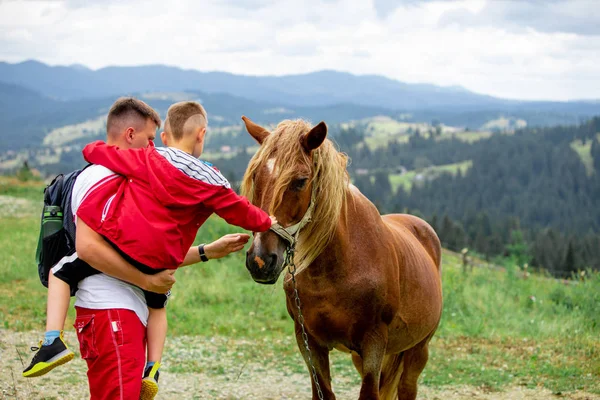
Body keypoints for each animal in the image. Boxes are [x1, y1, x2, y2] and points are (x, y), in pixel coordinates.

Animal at [241, 116, 442, 400]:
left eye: (300, 181)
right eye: (257, 175)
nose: (260, 260)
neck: (337, 271)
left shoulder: (373, 343)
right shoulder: (309, 342)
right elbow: (324, 392)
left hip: (418, 350)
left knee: (407, 387)